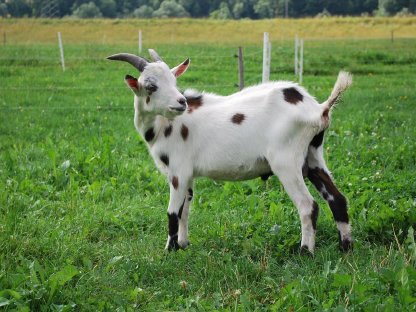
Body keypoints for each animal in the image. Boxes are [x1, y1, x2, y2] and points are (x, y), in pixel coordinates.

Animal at [108, 48, 354, 254]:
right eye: (151, 86)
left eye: (174, 80)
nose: (181, 102)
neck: (163, 126)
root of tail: (318, 109)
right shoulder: (188, 175)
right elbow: (185, 209)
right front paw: (184, 245)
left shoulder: (178, 171)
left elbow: (172, 213)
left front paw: (169, 250)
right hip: (312, 156)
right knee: (337, 199)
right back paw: (345, 248)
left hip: (286, 162)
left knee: (308, 206)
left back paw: (305, 252)